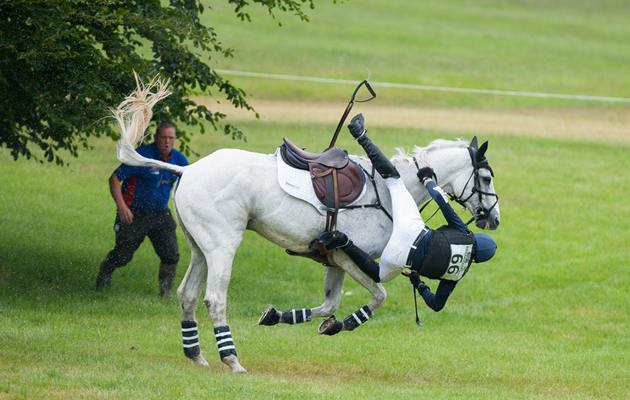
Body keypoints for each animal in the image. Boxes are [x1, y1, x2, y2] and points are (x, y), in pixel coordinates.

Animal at [111, 77, 502, 372]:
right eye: (485, 177)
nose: (494, 218)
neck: (393, 190)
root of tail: (186, 169)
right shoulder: (350, 257)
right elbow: (378, 296)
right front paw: (343, 323)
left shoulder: (334, 260)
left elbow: (329, 305)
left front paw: (287, 318)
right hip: (223, 245)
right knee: (214, 298)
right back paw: (232, 359)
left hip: (200, 247)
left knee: (187, 294)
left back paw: (196, 355)